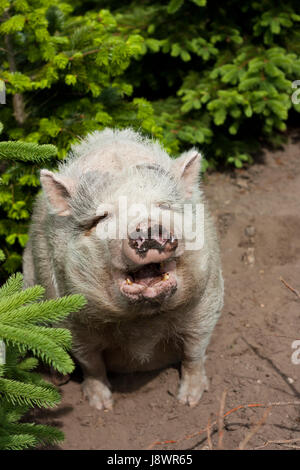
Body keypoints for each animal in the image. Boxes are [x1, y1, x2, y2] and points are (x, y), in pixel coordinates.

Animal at [22, 126, 224, 410]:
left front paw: (189, 401)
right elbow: (90, 362)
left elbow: (195, 351)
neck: (141, 325)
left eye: (164, 206)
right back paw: (58, 380)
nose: (147, 227)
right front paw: (102, 406)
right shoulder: (70, 317)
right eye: (101, 217)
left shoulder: (208, 299)